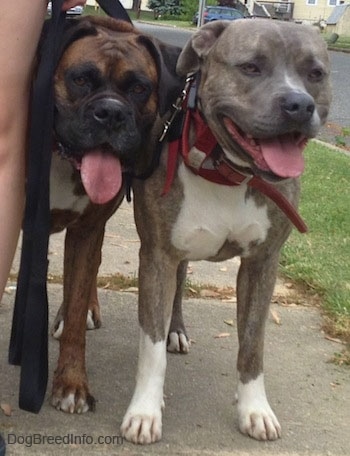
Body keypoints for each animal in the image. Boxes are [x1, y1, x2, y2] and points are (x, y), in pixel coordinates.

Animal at [120, 19, 330, 444]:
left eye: (316, 74)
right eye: (251, 67)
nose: (299, 104)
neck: (226, 170)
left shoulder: (262, 264)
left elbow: (252, 344)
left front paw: (255, 409)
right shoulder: (157, 256)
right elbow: (151, 346)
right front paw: (145, 411)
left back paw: (177, 330)